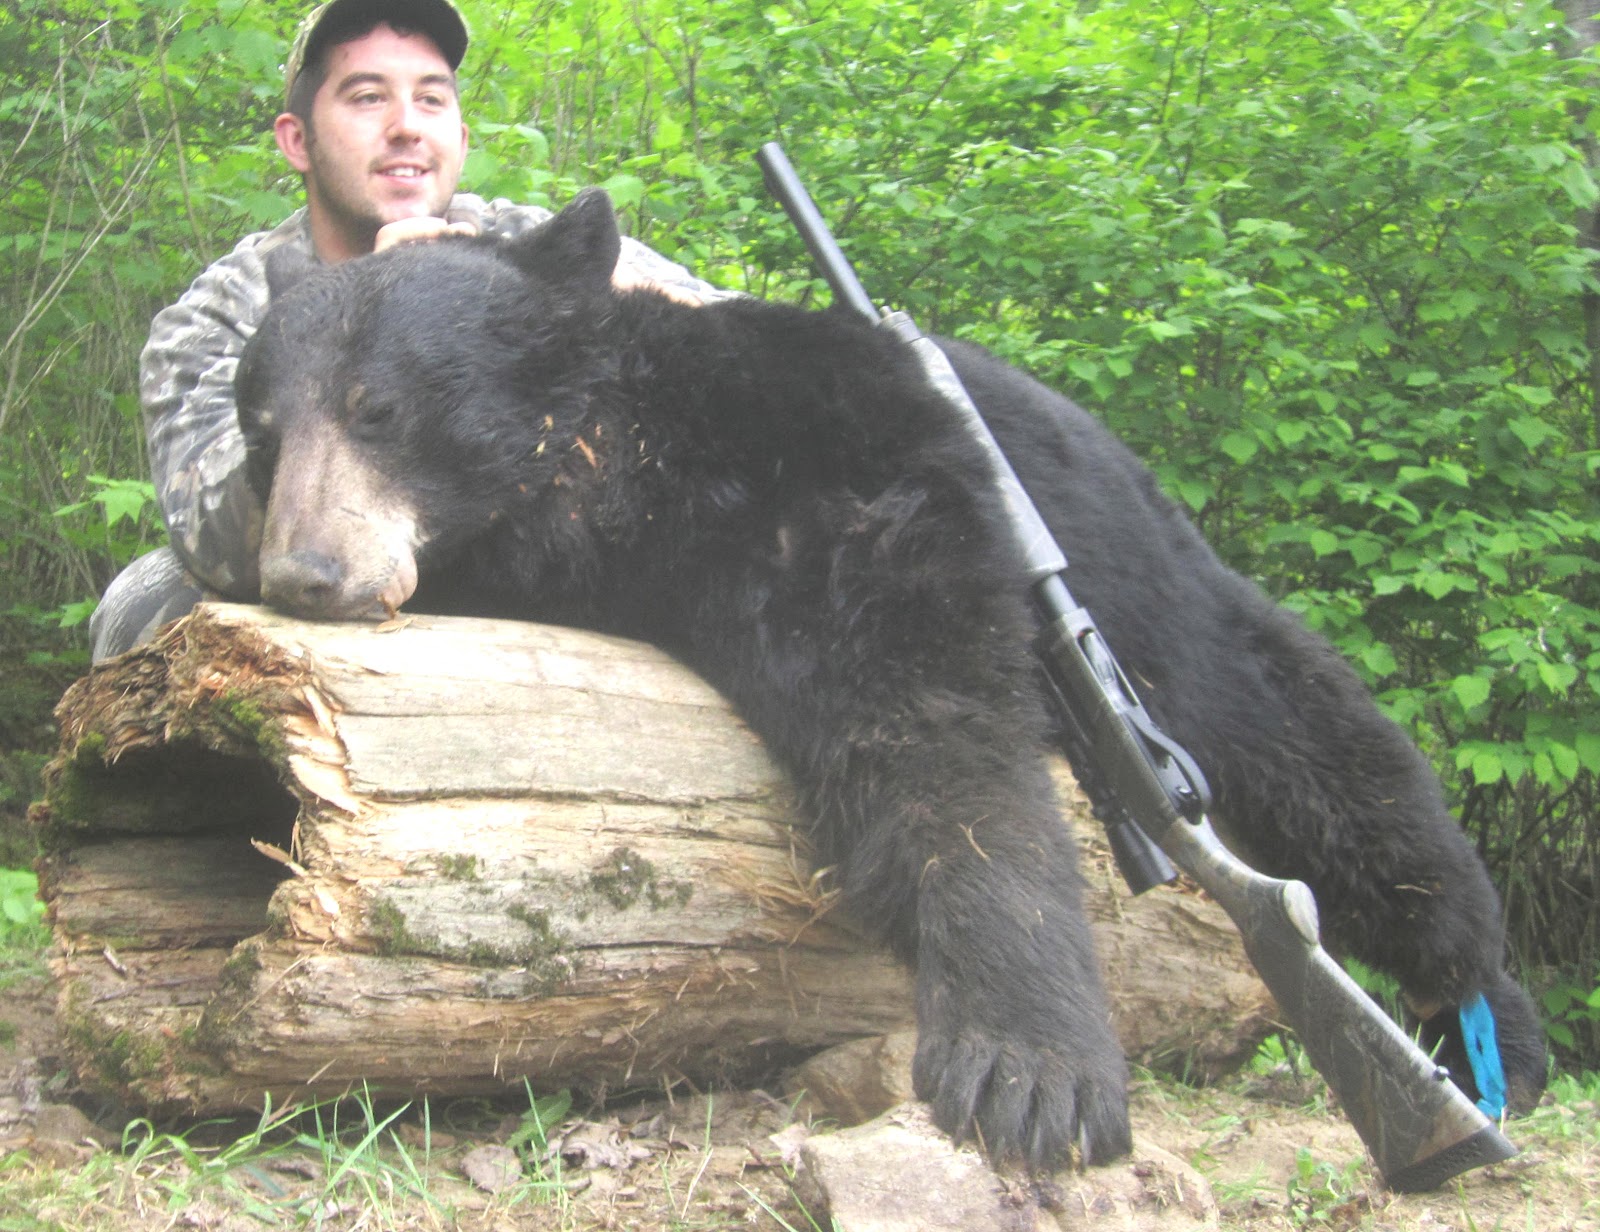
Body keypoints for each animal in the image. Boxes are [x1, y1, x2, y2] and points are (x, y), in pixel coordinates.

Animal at [233, 188, 1545, 1171]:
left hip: (1162, 593)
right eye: (260, 430)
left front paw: (1029, 1064)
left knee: (1325, 759)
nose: (301, 569)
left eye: (378, 407)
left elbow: (934, 715)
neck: (637, 467)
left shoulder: (845, 464)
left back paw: (1487, 1035)